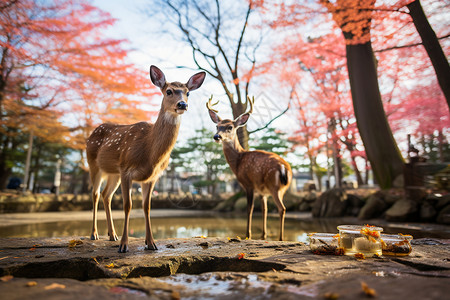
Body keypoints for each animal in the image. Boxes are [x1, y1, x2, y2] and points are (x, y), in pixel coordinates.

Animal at [85, 65, 206, 253]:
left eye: (188, 93)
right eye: (169, 91)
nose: (182, 104)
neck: (150, 153)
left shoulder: (151, 177)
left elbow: (147, 207)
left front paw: (151, 243)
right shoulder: (126, 170)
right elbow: (128, 206)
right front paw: (124, 246)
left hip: (114, 173)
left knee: (106, 195)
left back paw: (112, 235)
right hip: (94, 164)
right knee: (95, 194)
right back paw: (95, 234)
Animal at [207, 96, 292, 241]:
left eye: (230, 127)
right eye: (217, 126)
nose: (217, 136)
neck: (238, 161)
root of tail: (284, 167)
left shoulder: (248, 184)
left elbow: (249, 209)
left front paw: (248, 235)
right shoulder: (262, 192)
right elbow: (264, 210)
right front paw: (263, 235)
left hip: (274, 186)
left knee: (282, 208)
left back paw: (281, 239)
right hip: (282, 188)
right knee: (279, 208)